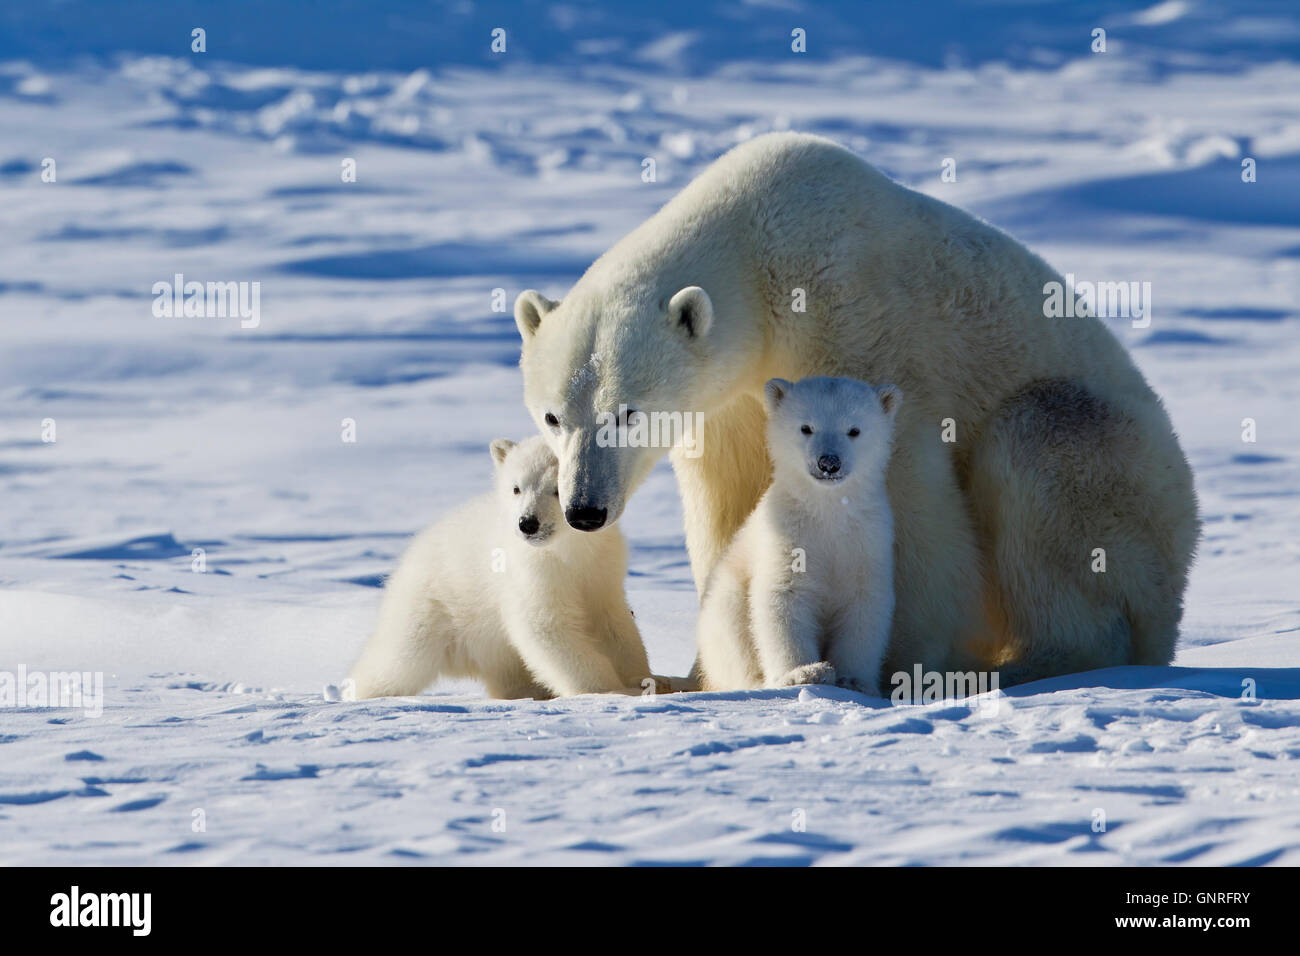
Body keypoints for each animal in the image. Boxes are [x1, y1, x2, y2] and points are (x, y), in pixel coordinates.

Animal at [514, 132, 1196, 686]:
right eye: (553, 416)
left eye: (627, 413)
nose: (584, 510)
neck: (757, 248)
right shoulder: (727, 405)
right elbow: (731, 509)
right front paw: (705, 674)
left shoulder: (854, 320)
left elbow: (910, 495)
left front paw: (894, 665)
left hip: (1128, 487)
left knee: (1039, 448)